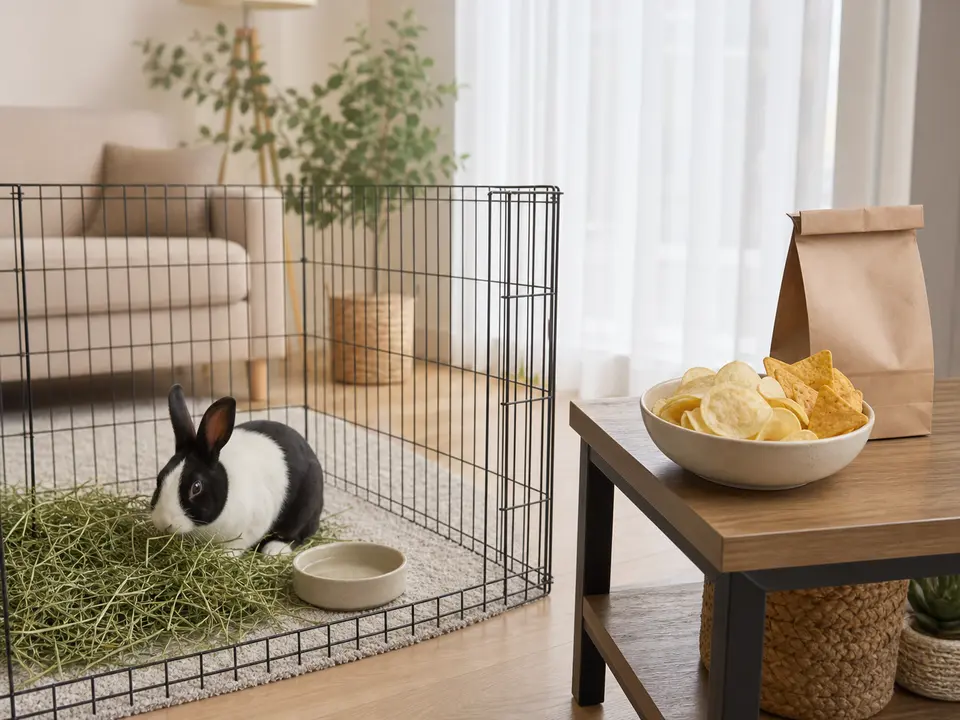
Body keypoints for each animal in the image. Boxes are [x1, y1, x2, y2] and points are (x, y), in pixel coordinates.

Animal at [150, 384, 325, 557]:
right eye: (159, 479)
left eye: (196, 487)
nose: (164, 523)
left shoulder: (251, 526)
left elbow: (237, 545)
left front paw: (224, 556)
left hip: (303, 509)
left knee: (297, 534)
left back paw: (273, 549)